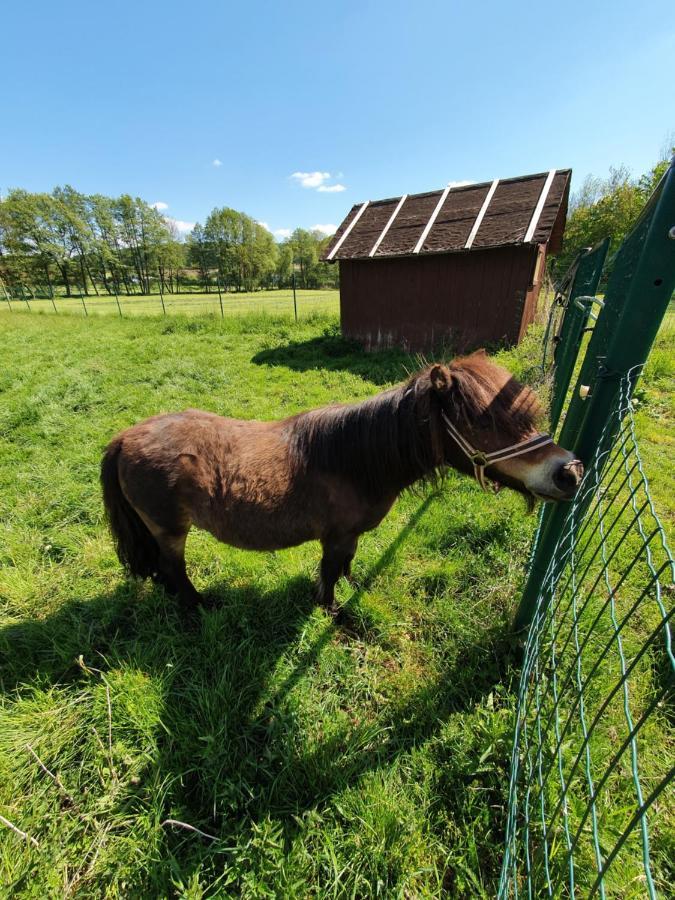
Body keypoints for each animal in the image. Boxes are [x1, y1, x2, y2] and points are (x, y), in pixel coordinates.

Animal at [100, 348, 580, 616]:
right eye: (483, 423)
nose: (568, 471)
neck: (356, 460)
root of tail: (124, 438)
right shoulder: (334, 537)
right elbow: (330, 573)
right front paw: (332, 612)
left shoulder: (351, 536)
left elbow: (348, 566)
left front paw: (353, 589)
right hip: (170, 530)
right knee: (173, 570)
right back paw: (198, 607)